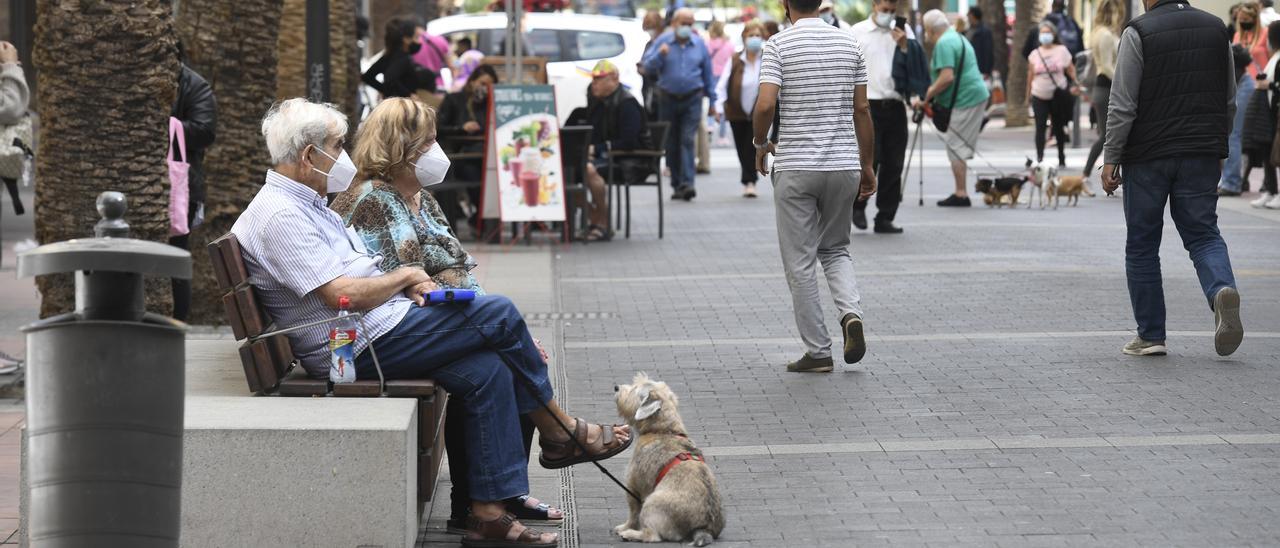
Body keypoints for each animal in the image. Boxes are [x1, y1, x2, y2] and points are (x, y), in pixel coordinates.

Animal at [614, 371, 727, 545]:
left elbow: (633, 512)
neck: (664, 430)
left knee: (652, 536)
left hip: (651, 503)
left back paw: (631, 534)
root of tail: (704, 527)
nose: (616, 387)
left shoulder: (633, 485)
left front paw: (625, 527)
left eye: (634, 389)